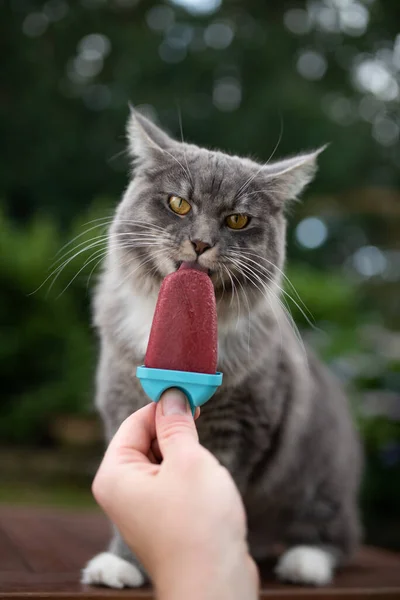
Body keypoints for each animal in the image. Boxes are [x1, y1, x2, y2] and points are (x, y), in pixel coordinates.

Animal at [82, 110, 362, 588]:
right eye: (179, 204)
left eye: (237, 220)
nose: (200, 243)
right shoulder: (119, 402)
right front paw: (121, 564)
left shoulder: (243, 426)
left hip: (320, 479)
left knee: (336, 533)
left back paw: (305, 562)